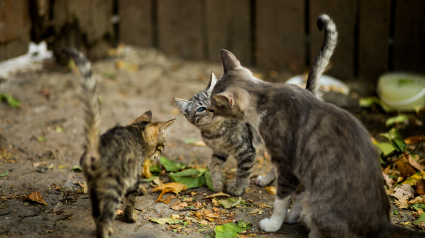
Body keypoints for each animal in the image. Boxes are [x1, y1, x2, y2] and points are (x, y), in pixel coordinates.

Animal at [61, 48, 174, 238]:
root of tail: (95, 149)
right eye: (162, 146)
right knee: (104, 218)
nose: (160, 155)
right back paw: (107, 232)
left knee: (97, 214)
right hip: (113, 186)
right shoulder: (133, 175)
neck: (136, 132)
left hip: (94, 187)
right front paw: (130, 217)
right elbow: (131, 200)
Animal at [171, 12, 336, 196]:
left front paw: (237, 188)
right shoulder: (218, 152)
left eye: (214, 101)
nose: (212, 110)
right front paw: (217, 183)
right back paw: (267, 180)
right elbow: (212, 163)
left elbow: (242, 172)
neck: (215, 133)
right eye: (200, 109)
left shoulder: (246, 151)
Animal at [206, 15, 424, 238]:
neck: (265, 94)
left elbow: (281, 200)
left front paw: (274, 223)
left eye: (214, 106)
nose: (207, 110)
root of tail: (380, 222)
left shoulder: (288, 163)